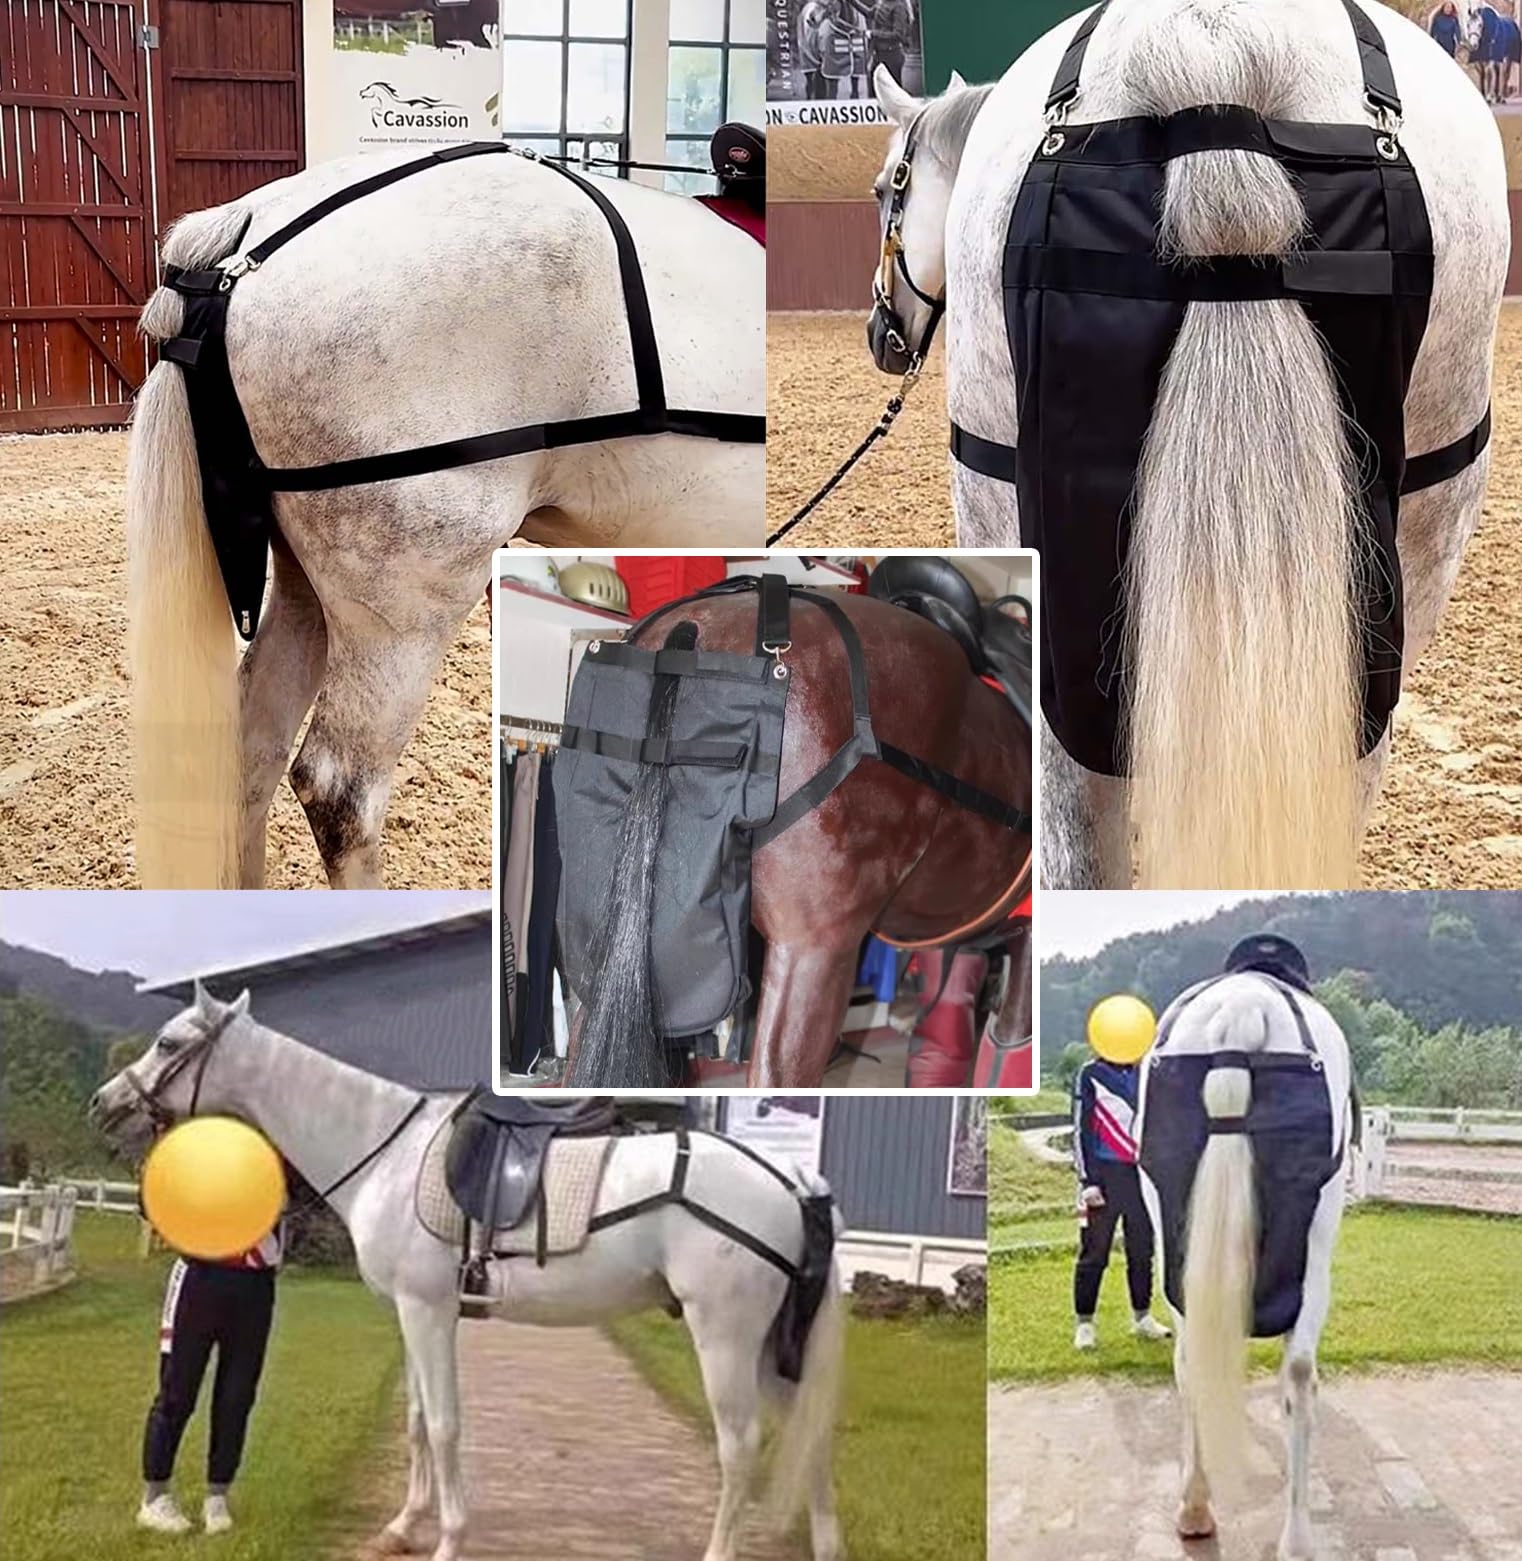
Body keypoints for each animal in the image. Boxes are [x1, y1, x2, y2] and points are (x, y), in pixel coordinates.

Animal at [88, 985, 844, 1561]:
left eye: (168, 1042)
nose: (103, 1102)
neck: (387, 1150)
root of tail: (793, 1178)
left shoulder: (426, 1309)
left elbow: (447, 1423)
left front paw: (449, 1538)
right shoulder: (415, 1313)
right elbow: (420, 1420)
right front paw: (403, 1526)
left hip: (726, 1340)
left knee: (740, 1447)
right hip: (774, 1352)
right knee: (811, 1443)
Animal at [1134, 956, 1354, 1559]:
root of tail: (1242, 1005)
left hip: (1177, 1253)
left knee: (1190, 1363)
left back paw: (1193, 1508)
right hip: (1313, 1253)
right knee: (1298, 1377)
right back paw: (1296, 1539)